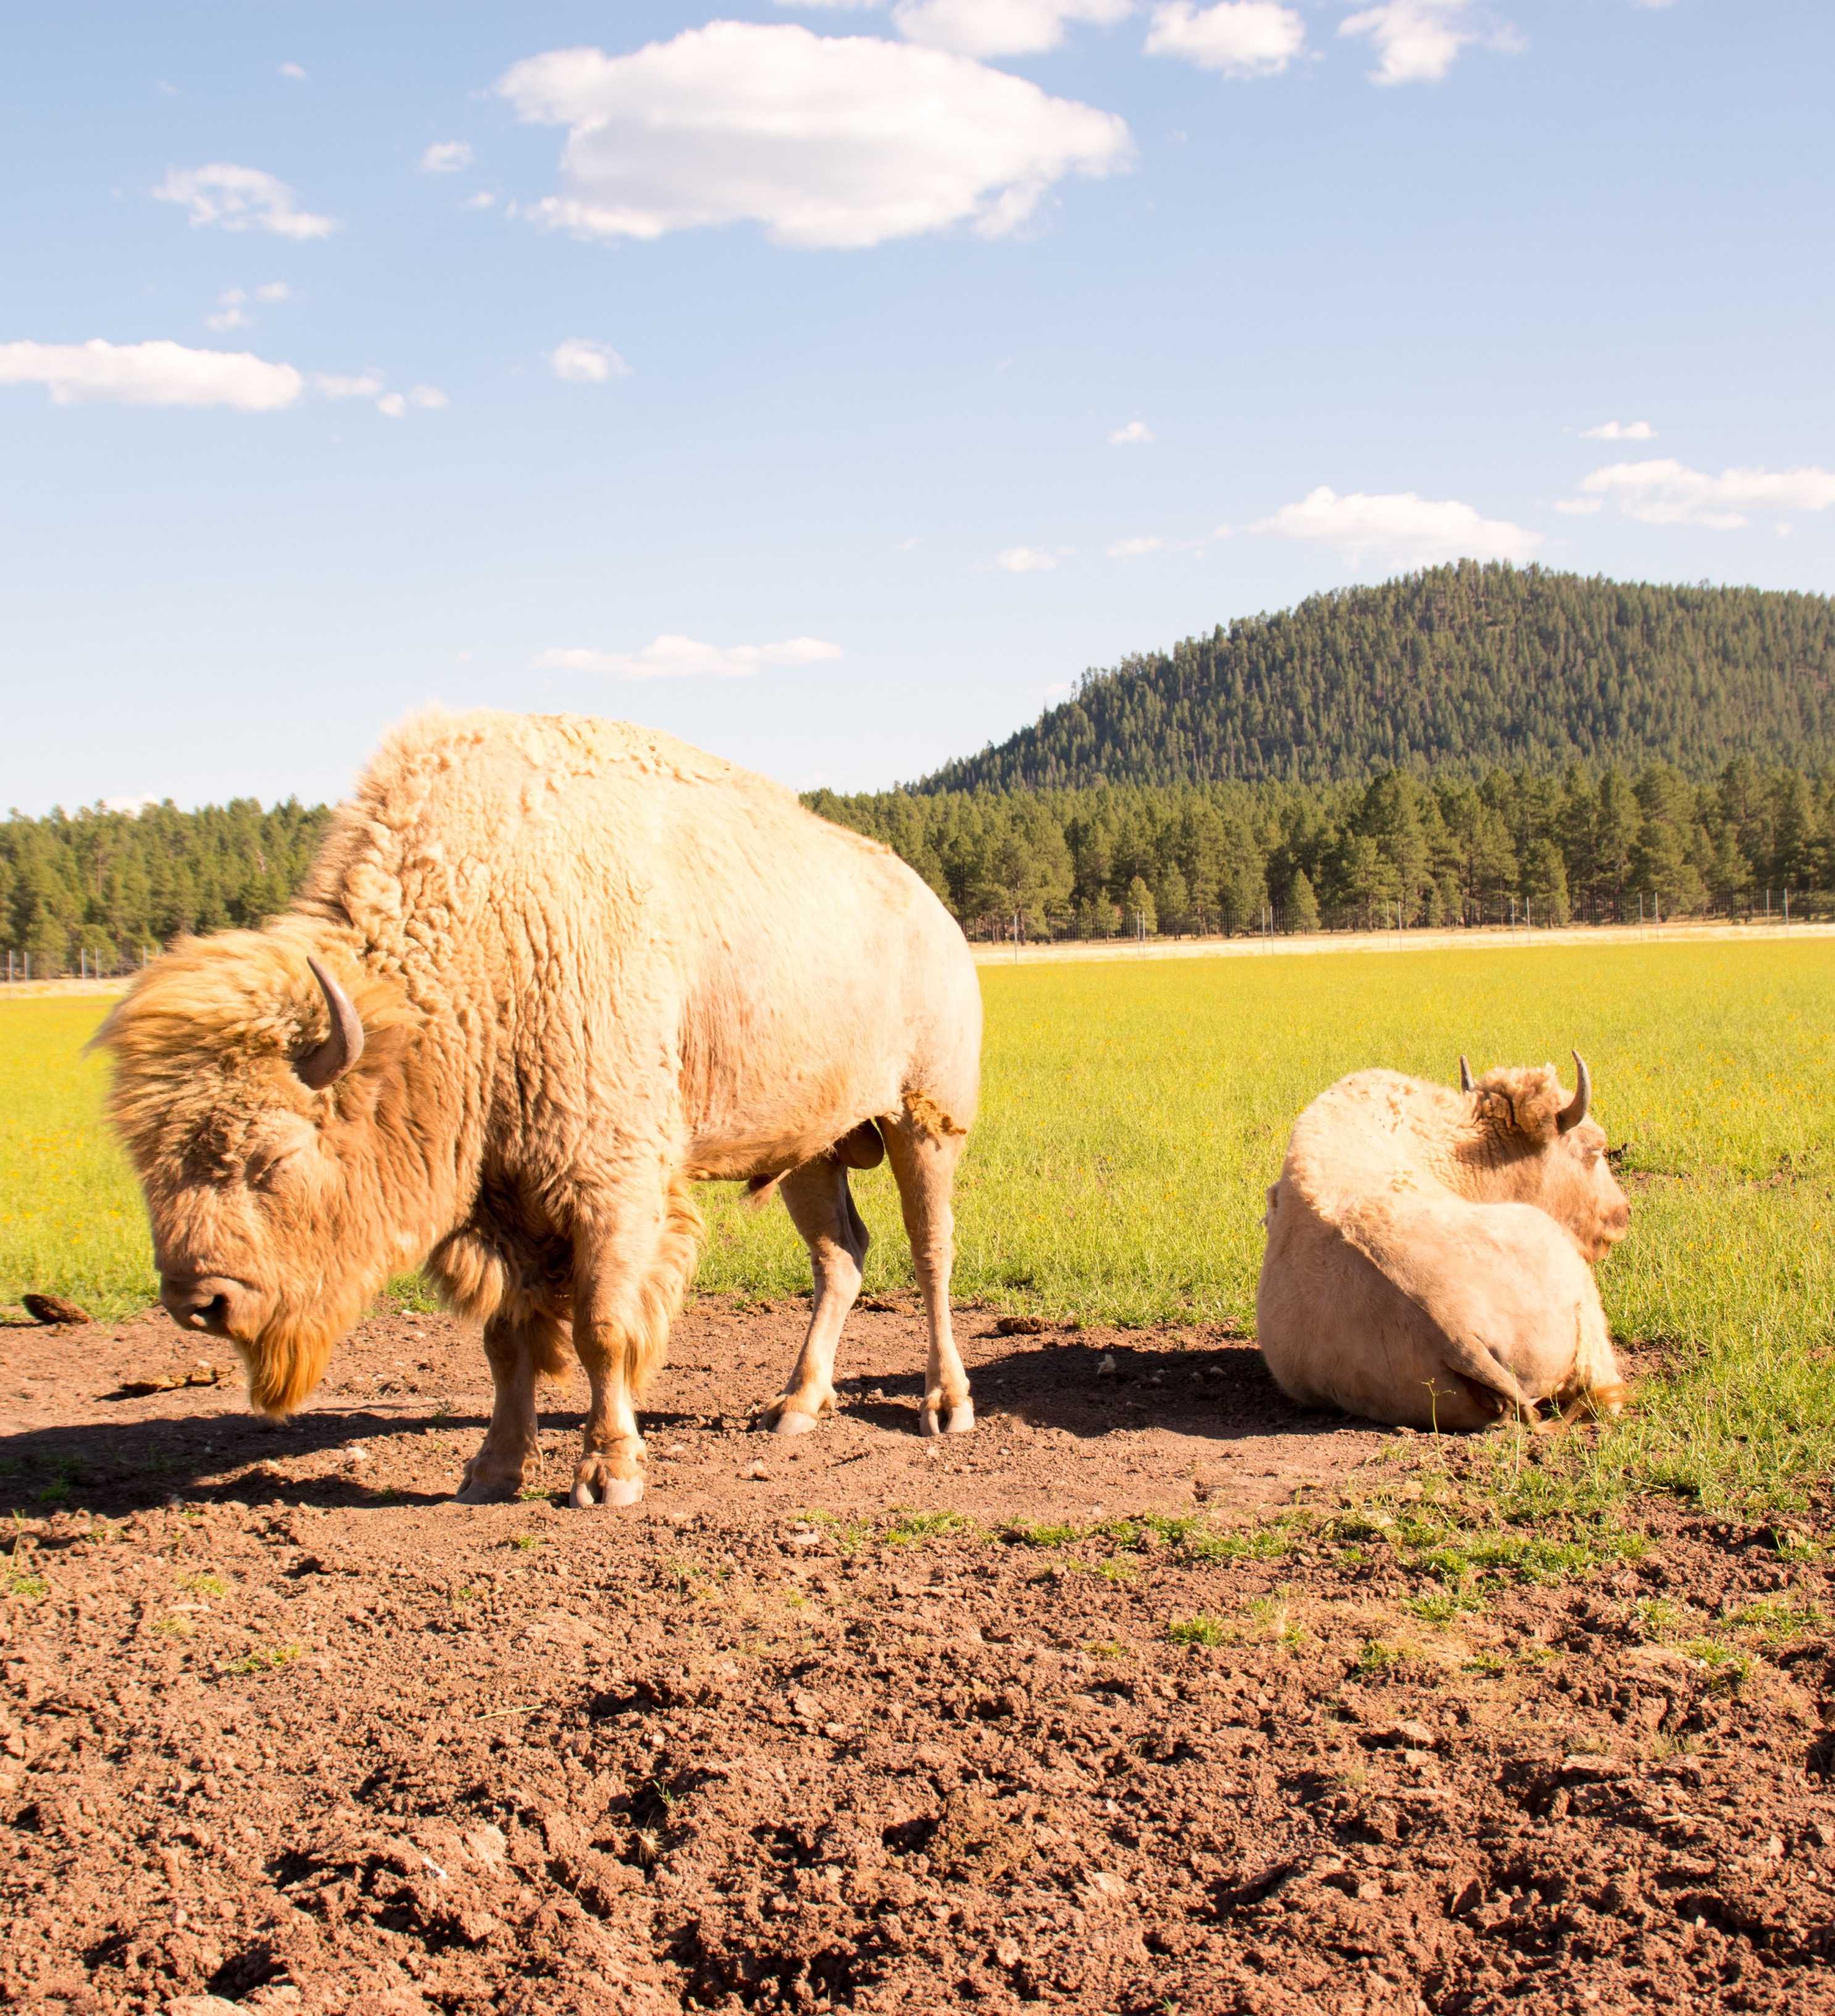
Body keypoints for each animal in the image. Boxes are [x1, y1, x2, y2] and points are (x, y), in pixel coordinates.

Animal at [96, 709, 992, 1500]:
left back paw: (944, 1405)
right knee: (840, 1255)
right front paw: (489, 1472)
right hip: (811, 1146)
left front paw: (608, 1475)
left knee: (931, 1250)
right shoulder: (496, 1202)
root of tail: (935, 912)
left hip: (923, 1123)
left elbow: (601, 1328)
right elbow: (508, 1338)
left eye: (276, 1154)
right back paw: (796, 1406)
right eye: (147, 1161)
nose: (198, 1301)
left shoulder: (609, 1188)